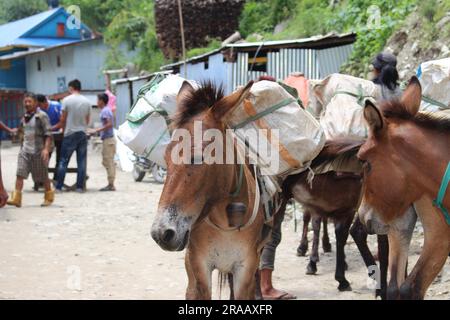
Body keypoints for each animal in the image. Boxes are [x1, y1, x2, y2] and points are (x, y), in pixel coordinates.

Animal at [151, 80, 270, 300]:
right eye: (165, 158)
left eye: (198, 157)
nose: (160, 233)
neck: (226, 222)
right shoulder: (200, 266)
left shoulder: (246, 269)